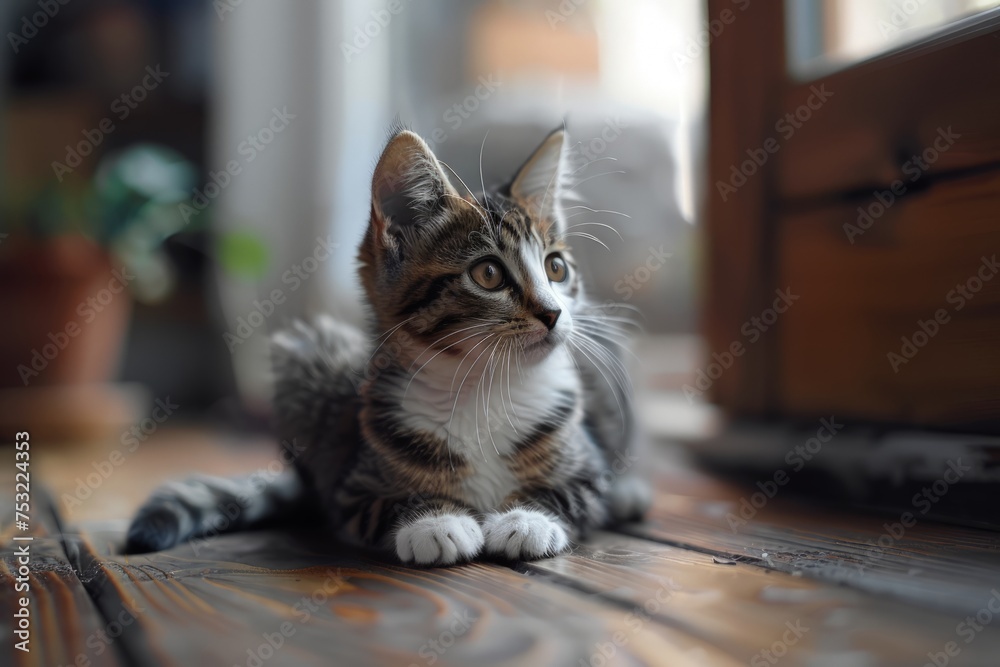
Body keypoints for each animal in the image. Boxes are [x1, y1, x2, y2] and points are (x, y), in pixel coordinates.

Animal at [125, 125, 652, 564]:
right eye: (488, 274)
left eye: (556, 268)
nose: (554, 312)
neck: (483, 387)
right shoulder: (352, 486)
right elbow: (375, 505)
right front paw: (433, 523)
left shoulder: (588, 466)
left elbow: (580, 491)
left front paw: (528, 519)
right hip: (307, 358)